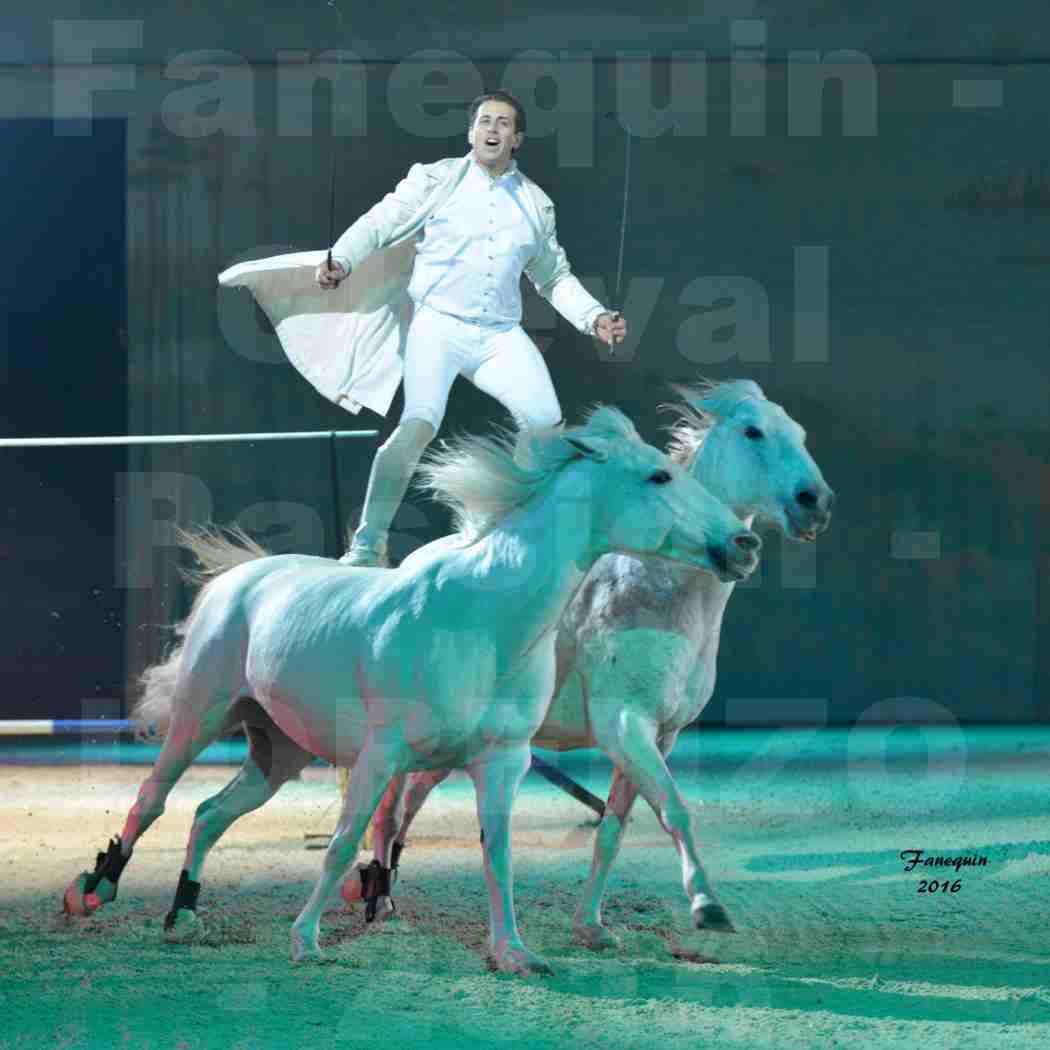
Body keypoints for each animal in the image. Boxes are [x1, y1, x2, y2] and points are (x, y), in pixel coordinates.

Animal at [61, 407, 760, 974]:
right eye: (658, 477)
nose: (743, 543)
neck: (482, 620)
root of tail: (236, 579)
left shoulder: (502, 761)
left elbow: (497, 853)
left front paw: (514, 953)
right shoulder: (382, 753)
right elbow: (344, 843)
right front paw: (305, 941)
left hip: (278, 751)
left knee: (209, 813)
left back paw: (184, 915)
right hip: (200, 716)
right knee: (152, 800)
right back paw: (94, 890)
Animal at [356, 382, 831, 949]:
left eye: (799, 432)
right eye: (753, 431)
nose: (815, 502)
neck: (659, 588)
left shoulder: (660, 735)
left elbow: (614, 829)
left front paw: (591, 926)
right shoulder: (624, 724)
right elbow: (675, 810)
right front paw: (707, 905)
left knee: (408, 806)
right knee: (388, 811)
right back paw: (380, 903)